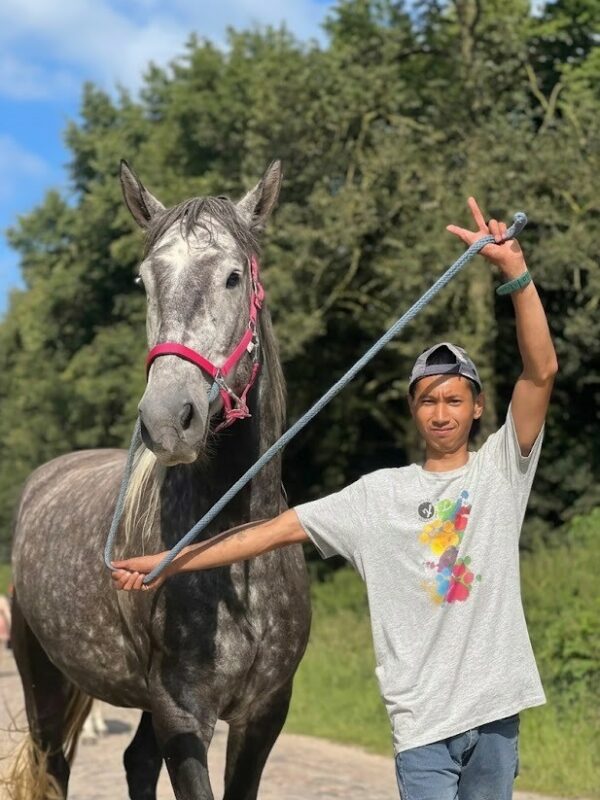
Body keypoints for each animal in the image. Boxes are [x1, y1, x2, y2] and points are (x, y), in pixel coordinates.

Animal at [9, 160, 311, 800]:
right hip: (44, 681)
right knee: (56, 767)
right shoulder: (181, 713)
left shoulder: (263, 716)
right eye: (145, 282)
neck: (234, 553)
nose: (167, 418)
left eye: (231, 277)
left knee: (135, 762)